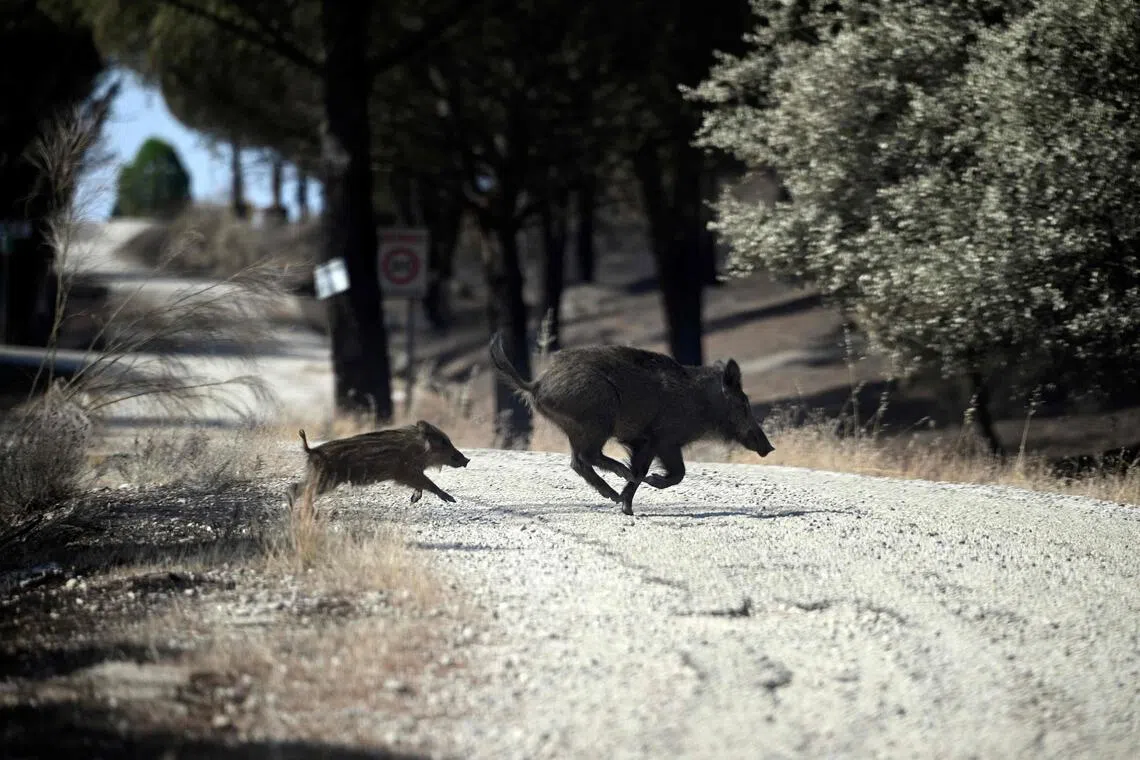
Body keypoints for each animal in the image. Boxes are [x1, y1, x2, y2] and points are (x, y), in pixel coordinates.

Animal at [286, 420, 471, 506]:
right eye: (444, 443)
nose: (467, 460)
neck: (419, 449)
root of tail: (312, 450)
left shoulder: (412, 473)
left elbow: (422, 485)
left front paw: (413, 500)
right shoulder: (404, 472)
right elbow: (429, 483)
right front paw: (451, 499)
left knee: (295, 487)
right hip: (325, 480)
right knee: (301, 490)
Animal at [489, 332, 774, 515]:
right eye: (743, 404)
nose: (769, 448)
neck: (702, 403)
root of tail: (536, 384)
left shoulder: (652, 442)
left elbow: (664, 472)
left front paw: (627, 506)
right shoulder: (660, 439)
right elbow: (670, 473)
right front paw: (644, 489)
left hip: (577, 428)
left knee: (578, 462)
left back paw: (613, 494)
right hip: (598, 419)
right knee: (587, 457)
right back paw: (619, 479)